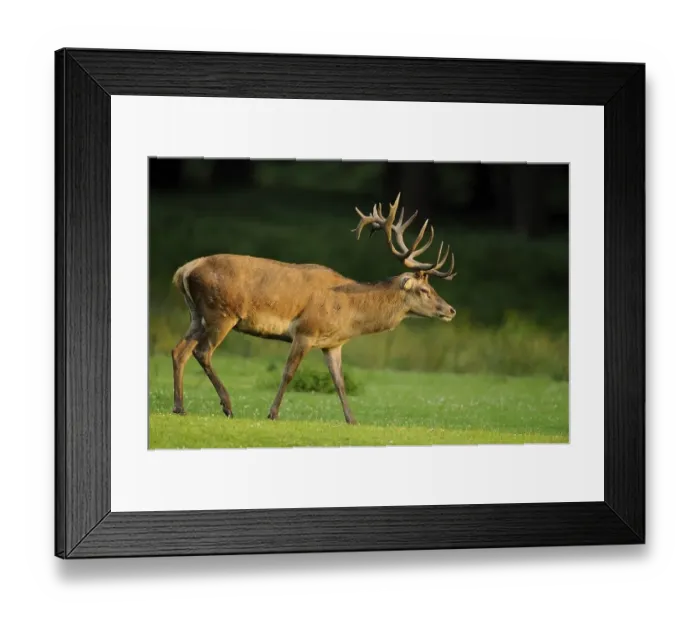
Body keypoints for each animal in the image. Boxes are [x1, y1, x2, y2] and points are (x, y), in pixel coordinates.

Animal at [170, 192, 457, 425]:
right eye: (424, 290)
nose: (451, 310)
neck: (350, 312)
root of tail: (184, 270)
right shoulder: (305, 331)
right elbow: (289, 372)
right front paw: (273, 413)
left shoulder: (333, 343)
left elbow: (339, 382)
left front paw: (352, 420)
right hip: (222, 313)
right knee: (202, 352)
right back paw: (227, 406)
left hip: (198, 315)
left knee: (179, 351)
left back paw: (180, 407)